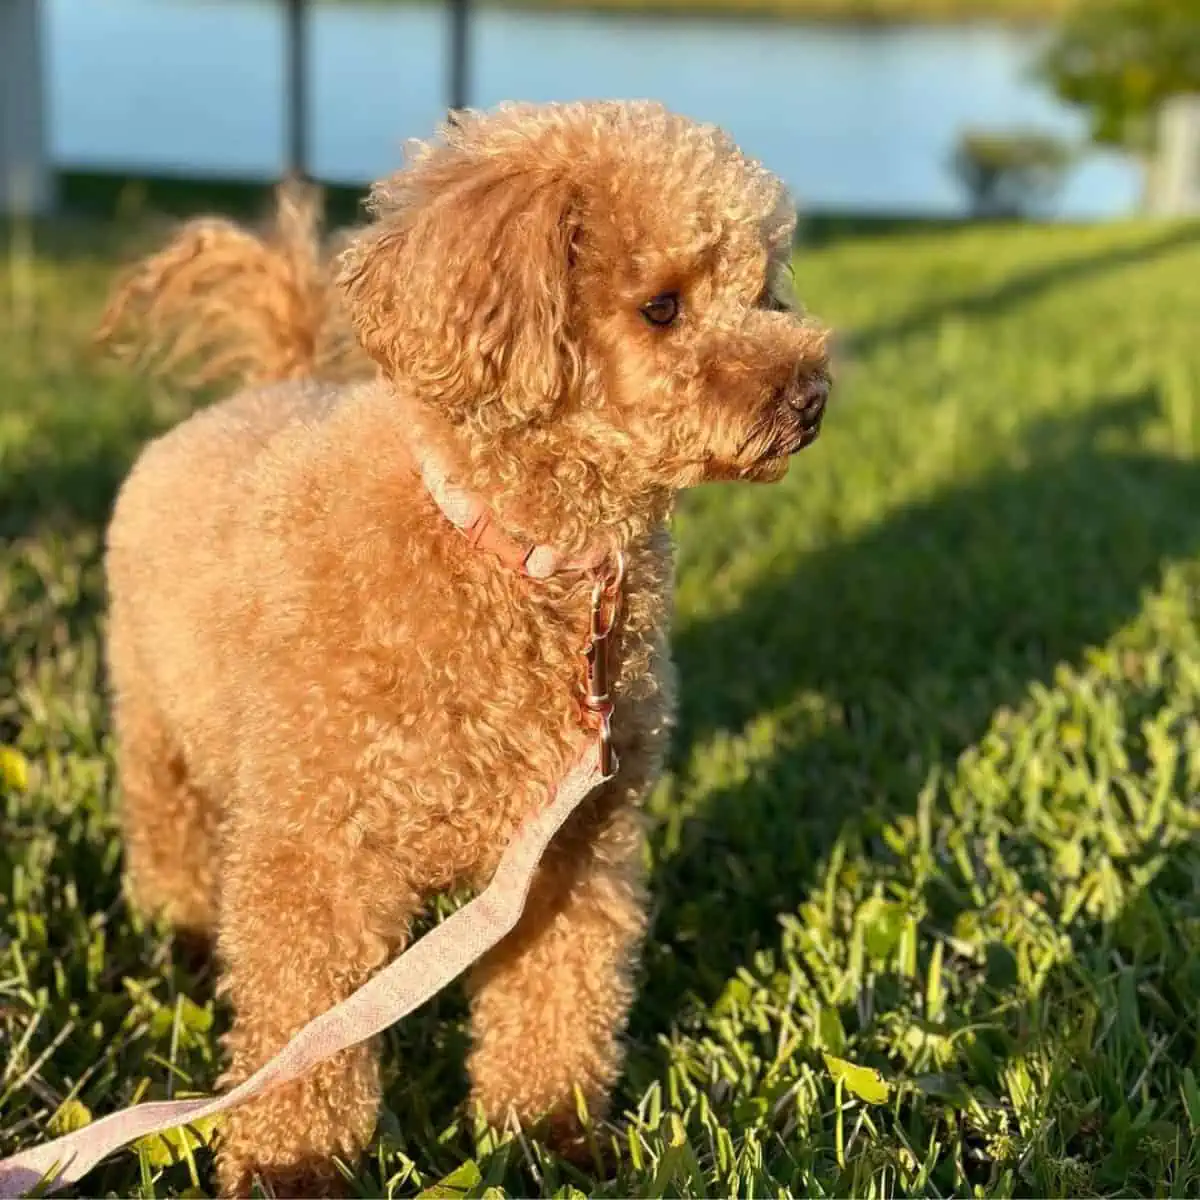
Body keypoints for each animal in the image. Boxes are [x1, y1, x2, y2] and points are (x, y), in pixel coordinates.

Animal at [100, 100, 835, 1190]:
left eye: (765, 287)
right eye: (661, 307)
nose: (810, 398)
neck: (522, 554)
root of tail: (265, 388)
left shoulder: (573, 846)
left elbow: (557, 997)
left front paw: (545, 1137)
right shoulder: (323, 850)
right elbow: (304, 1029)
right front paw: (292, 1169)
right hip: (154, 711)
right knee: (167, 824)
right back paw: (182, 930)